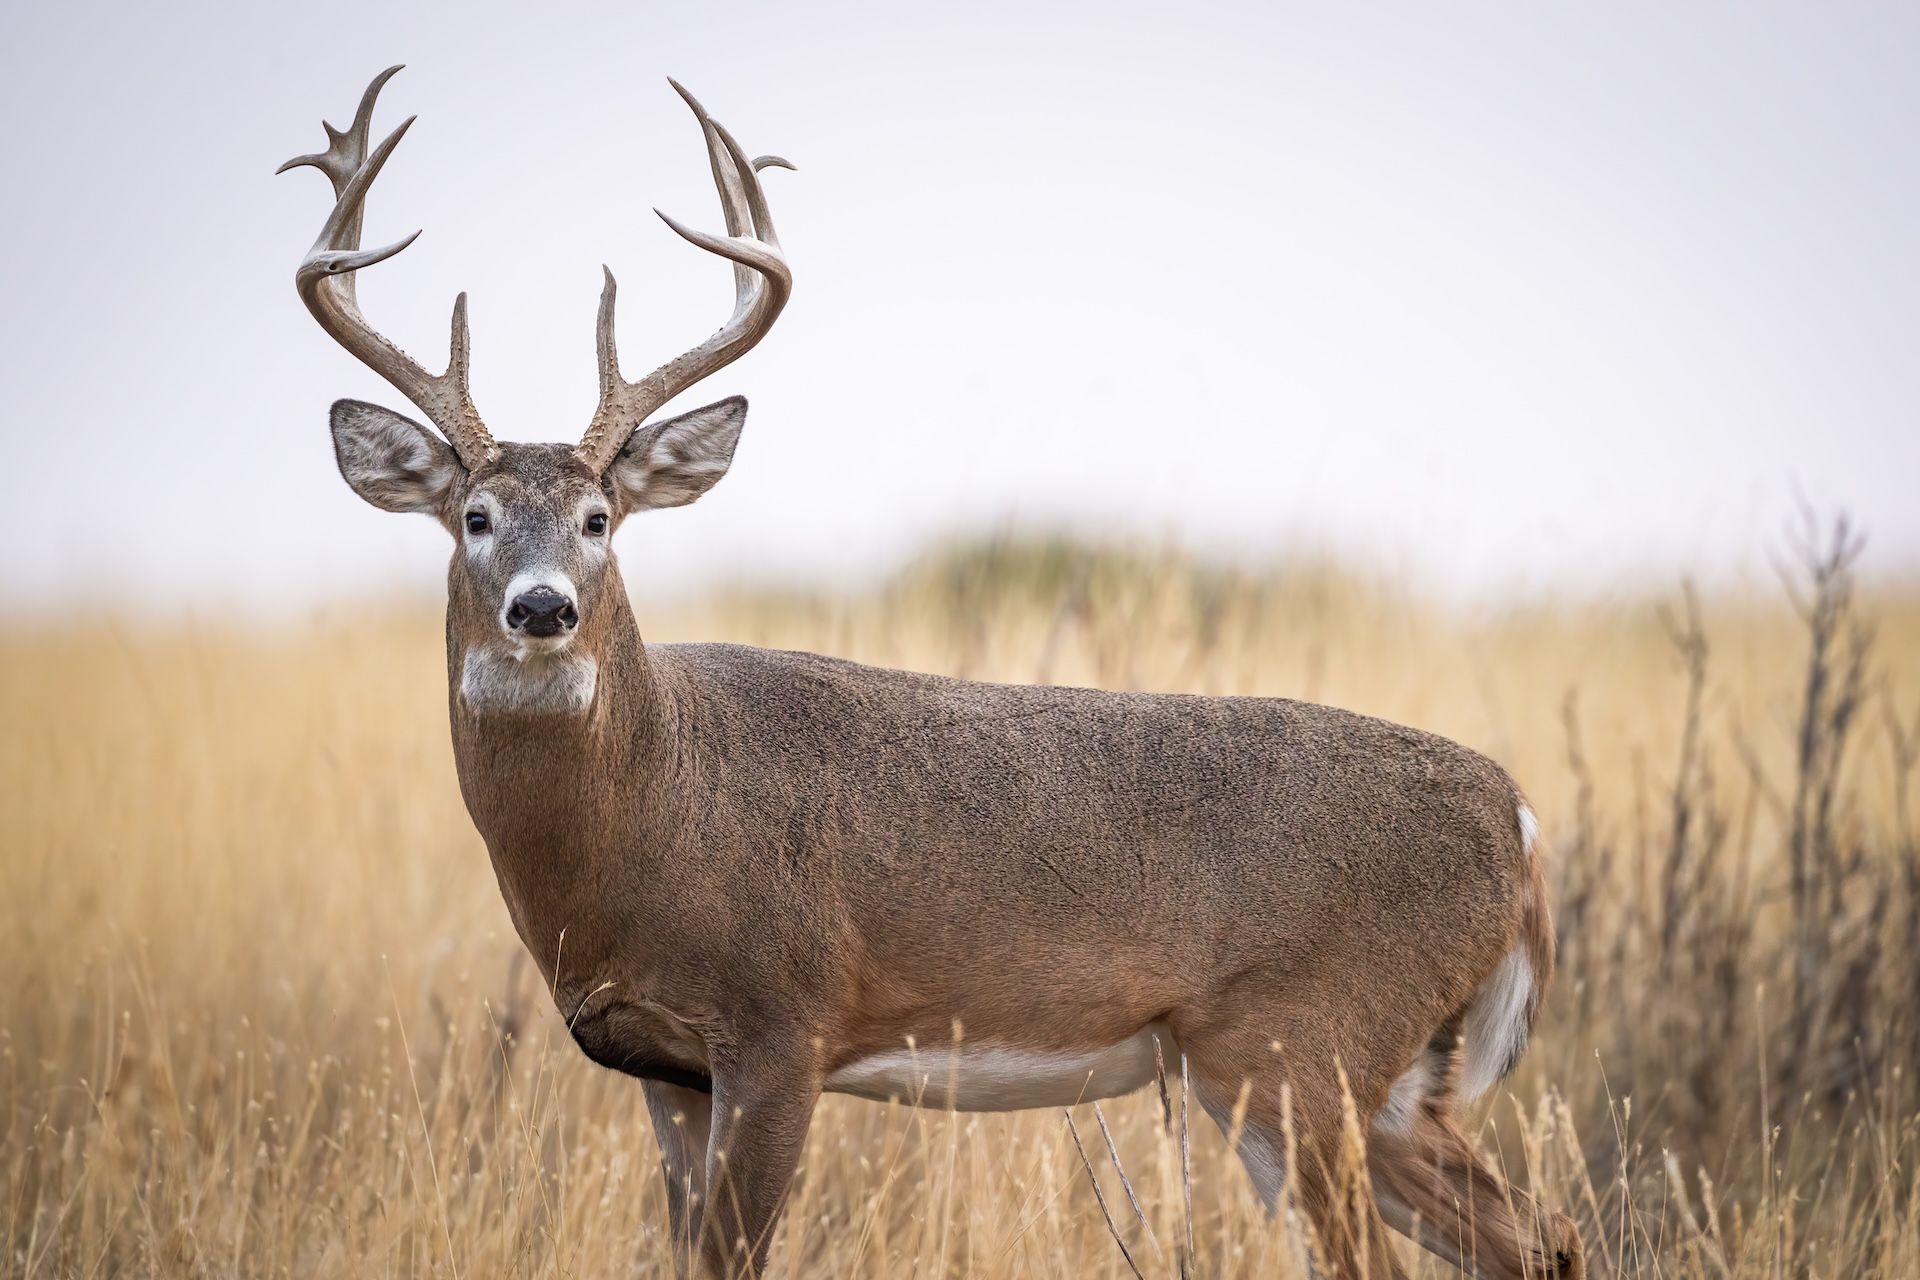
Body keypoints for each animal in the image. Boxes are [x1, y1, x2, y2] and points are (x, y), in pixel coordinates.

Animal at [282, 66, 1583, 1280]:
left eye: (601, 518)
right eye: (474, 515)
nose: (543, 607)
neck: (653, 804)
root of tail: (1522, 821)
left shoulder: (782, 1023)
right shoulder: (664, 1068)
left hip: (1300, 1045)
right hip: (1382, 1079)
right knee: (1544, 1234)